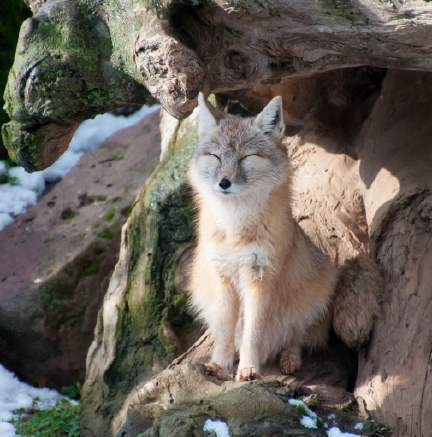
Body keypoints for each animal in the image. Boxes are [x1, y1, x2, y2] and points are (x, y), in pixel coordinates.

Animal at [189, 93, 382, 382]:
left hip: (311, 298)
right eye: (215, 156)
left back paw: (289, 359)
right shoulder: (222, 275)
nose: (224, 183)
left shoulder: (261, 276)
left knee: (296, 337)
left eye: (246, 157)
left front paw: (248, 369)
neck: (235, 228)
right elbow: (225, 332)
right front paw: (220, 366)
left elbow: (253, 334)